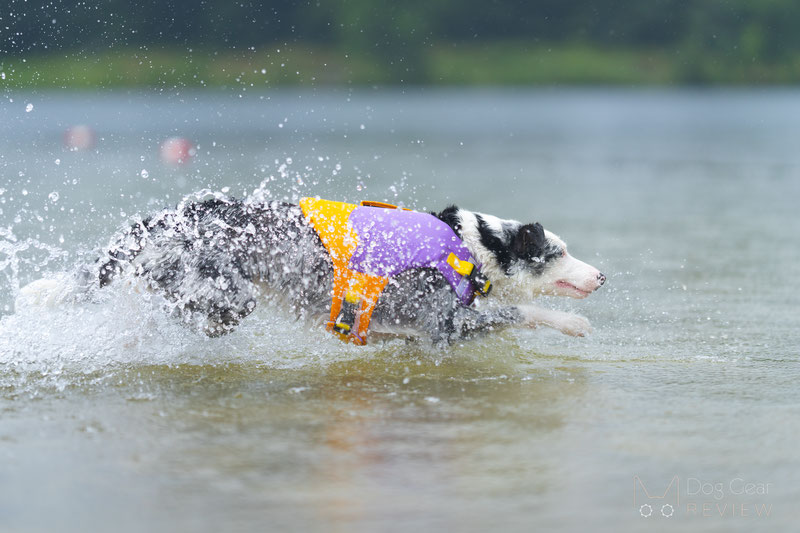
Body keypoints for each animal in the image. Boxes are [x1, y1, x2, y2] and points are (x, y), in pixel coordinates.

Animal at [18, 195, 608, 344]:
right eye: (557, 253)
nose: (602, 275)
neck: (470, 246)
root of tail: (168, 214)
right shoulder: (445, 321)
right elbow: (522, 310)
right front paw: (573, 325)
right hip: (227, 292)